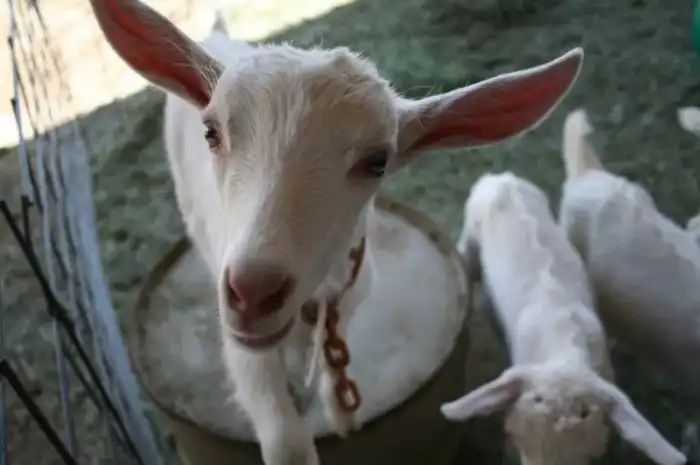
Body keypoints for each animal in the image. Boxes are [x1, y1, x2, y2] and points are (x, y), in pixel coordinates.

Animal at [88, 0, 585, 463]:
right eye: (212, 132)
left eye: (378, 160)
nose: (253, 292)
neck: (314, 296)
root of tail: (217, 38)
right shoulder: (243, 345)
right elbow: (285, 440)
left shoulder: (351, 290)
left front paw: (340, 410)